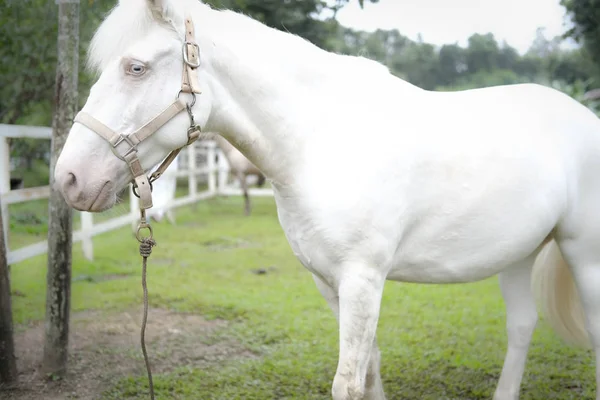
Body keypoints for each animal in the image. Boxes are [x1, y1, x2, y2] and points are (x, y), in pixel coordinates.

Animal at [52, 1, 600, 398]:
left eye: (136, 67)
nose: (68, 177)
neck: (323, 140)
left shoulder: (363, 280)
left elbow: (348, 380)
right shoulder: (329, 283)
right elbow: (371, 368)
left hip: (584, 256)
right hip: (518, 253)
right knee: (522, 328)